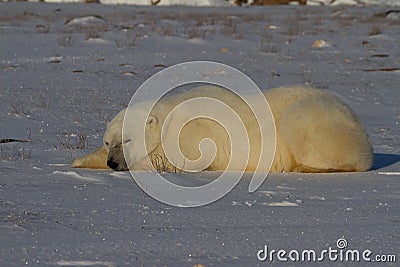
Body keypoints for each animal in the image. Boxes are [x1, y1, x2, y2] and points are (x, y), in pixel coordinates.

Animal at [71, 86, 372, 174]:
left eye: (128, 140)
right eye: (108, 142)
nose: (113, 163)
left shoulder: (196, 131)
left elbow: (179, 160)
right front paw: (80, 160)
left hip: (312, 117)